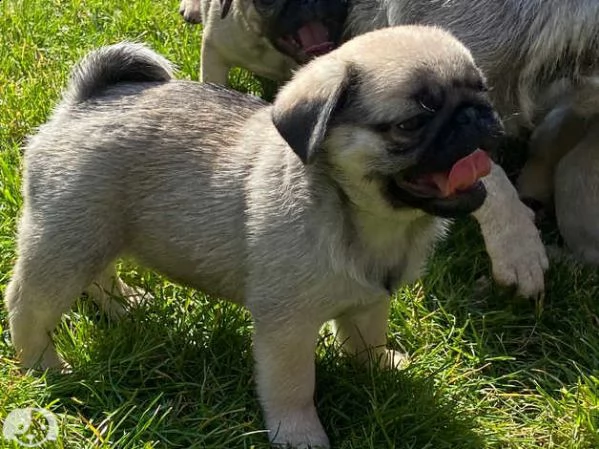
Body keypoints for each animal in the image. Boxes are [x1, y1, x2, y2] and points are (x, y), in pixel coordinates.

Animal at [4, 26, 548, 446]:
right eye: (413, 122)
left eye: (481, 90)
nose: (475, 115)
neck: (359, 214)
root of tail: (84, 105)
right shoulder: (286, 330)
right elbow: (294, 388)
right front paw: (300, 435)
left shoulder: (370, 299)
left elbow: (365, 337)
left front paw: (378, 367)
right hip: (66, 242)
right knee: (30, 305)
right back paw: (45, 367)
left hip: (95, 235)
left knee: (100, 275)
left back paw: (124, 303)